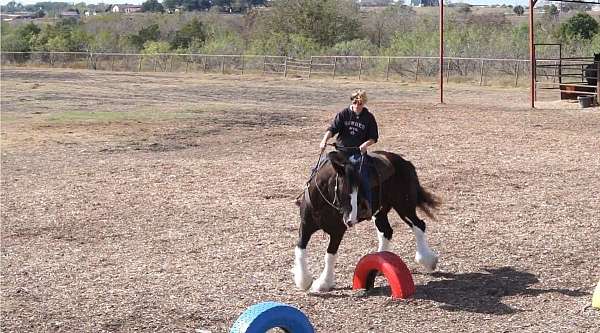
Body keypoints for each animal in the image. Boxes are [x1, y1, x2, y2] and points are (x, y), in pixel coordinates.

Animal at [294, 149, 440, 292]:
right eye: (344, 191)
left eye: (359, 192)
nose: (350, 220)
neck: (322, 204)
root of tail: (405, 162)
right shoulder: (306, 226)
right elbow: (300, 249)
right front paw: (304, 281)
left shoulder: (337, 232)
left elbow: (330, 255)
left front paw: (323, 283)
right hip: (380, 212)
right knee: (387, 231)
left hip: (404, 206)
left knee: (419, 225)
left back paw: (427, 260)